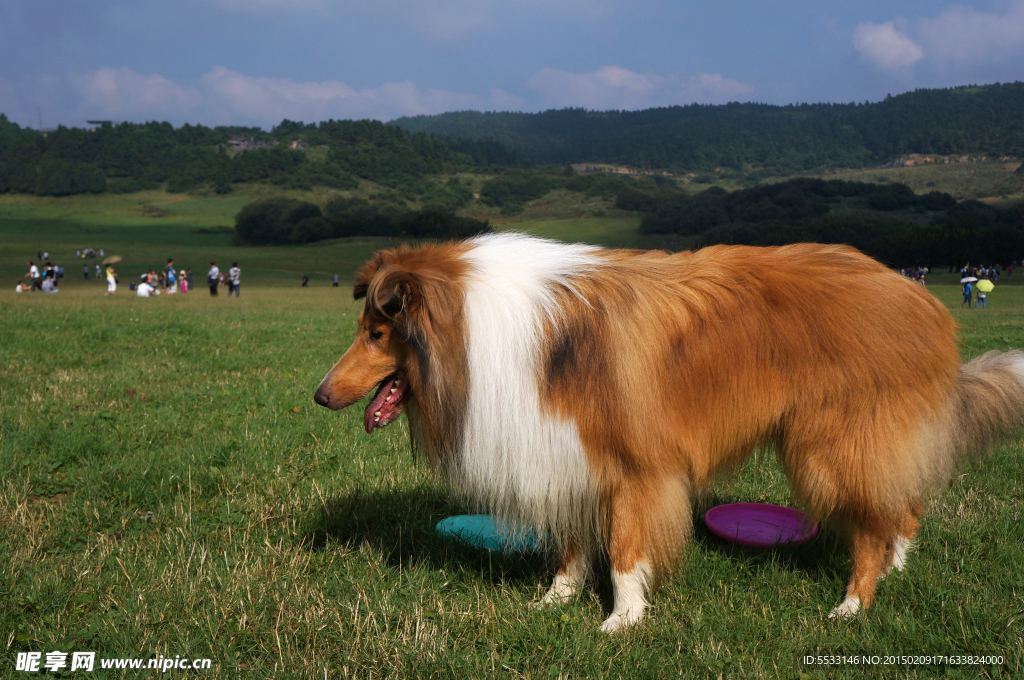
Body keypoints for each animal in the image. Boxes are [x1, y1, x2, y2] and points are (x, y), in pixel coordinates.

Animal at [313, 233, 1024, 630]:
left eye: (377, 332)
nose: (319, 395)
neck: (481, 330)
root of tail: (917, 295)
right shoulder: (568, 449)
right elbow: (573, 543)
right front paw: (554, 601)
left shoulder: (636, 465)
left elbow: (627, 549)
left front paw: (621, 621)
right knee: (901, 503)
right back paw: (901, 565)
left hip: (829, 446)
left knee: (873, 524)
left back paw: (854, 604)